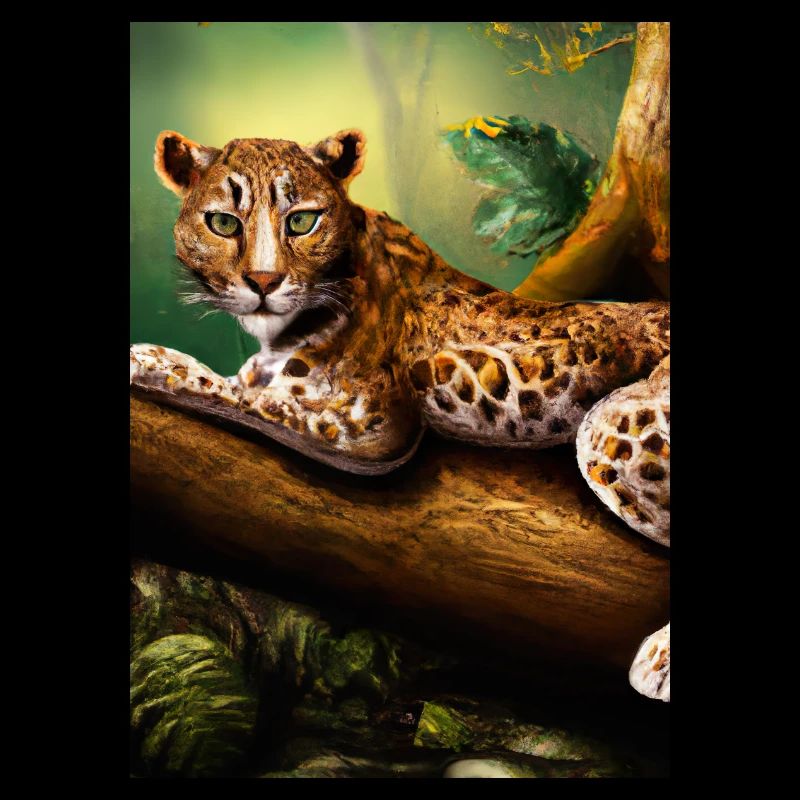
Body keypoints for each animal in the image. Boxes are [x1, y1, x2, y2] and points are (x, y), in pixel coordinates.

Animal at [130, 128, 671, 702]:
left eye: (301, 220)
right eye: (224, 223)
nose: (263, 281)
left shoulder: (368, 422)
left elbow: (238, 393)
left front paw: (149, 358)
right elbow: (250, 383)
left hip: (611, 427)